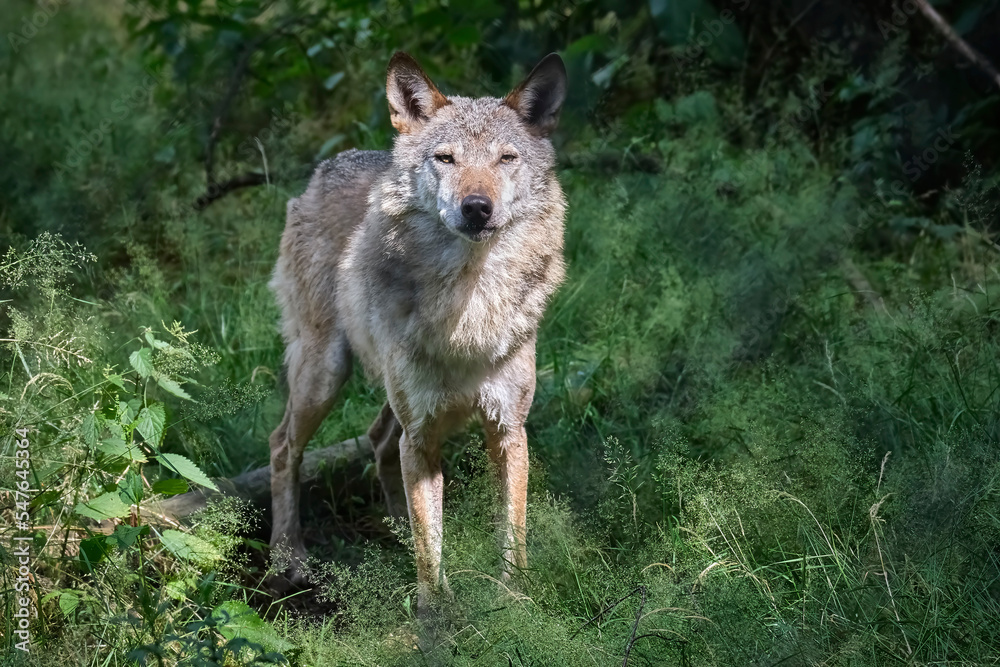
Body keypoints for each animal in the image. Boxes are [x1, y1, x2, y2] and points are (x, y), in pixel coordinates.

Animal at [267, 52, 567, 609]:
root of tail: (327, 166)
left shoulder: (508, 430)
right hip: (325, 375)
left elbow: (511, 531)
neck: (469, 310)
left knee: (377, 439)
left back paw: (393, 529)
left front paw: (515, 600)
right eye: (445, 159)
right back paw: (287, 558)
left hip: (389, 396)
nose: (477, 207)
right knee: (282, 446)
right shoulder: (423, 435)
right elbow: (433, 548)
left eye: (506, 159)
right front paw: (438, 614)